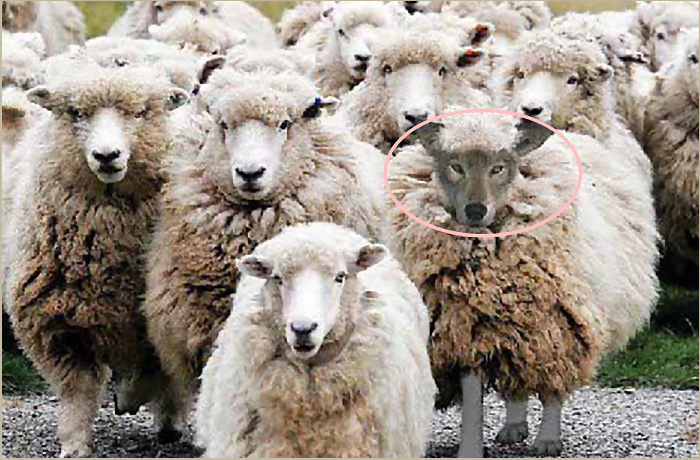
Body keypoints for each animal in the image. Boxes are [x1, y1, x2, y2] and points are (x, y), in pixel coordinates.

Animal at [4, 63, 190, 458]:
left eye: (140, 113)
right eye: (75, 113)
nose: (107, 156)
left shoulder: (154, 321)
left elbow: (152, 371)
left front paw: (134, 398)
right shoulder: (60, 327)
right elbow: (78, 391)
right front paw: (74, 443)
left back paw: (168, 421)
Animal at [387, 110, 659, 457]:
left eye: (500, 166)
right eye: (454, 165)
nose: (475, 210)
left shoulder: (557, 321)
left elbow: (553, 384)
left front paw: (548, 440)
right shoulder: (465, 327)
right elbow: (472, 394)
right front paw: (471, 448)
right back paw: (513, 424)